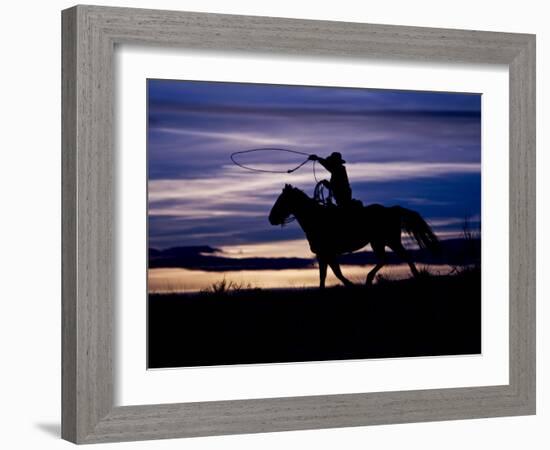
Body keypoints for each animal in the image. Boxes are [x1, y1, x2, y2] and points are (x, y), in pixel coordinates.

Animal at [270, 184, 442, 286]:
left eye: (281, 200)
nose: (271, 218)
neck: (317, 219)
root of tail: (392, 209)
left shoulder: (327, 253)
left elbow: (334, 273)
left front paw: (350, 284)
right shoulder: (324, 255)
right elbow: (326, 275)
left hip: (387, 241)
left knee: (396, 257)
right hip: (381, 242)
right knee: (391, 258)